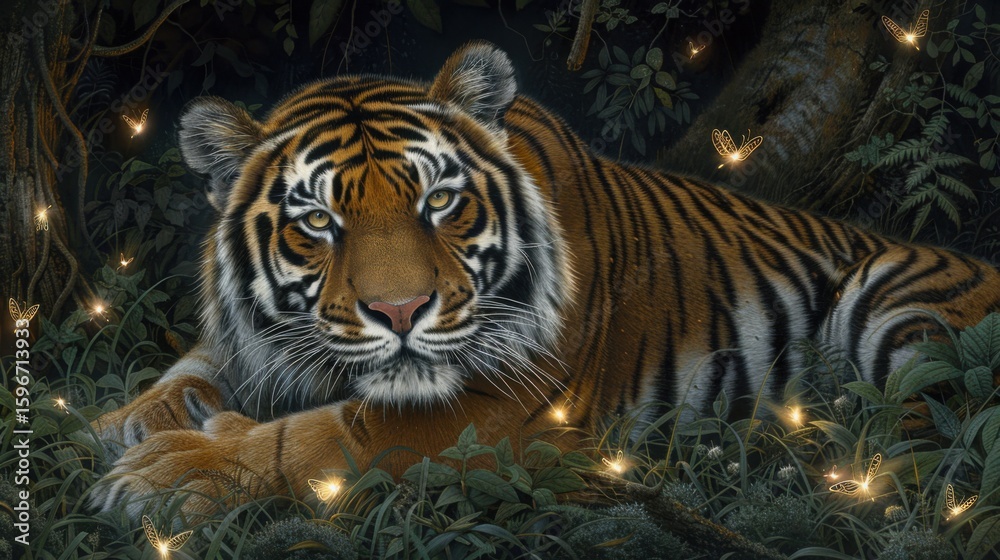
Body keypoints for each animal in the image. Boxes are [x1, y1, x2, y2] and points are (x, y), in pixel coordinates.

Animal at [91, 42, 1000, 513]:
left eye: (439, 201)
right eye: (318, 221)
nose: (400, 311)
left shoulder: (510, 415)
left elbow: (325, 436)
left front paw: (177, 471)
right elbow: (197, 364)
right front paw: (125, 420)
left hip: (894, 297)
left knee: (926, 441)